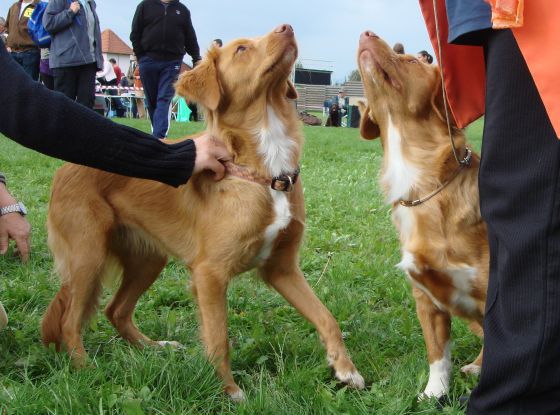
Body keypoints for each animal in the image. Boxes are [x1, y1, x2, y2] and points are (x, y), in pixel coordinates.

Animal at [39, 24, 364, 402]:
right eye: (241, 49)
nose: (288, 27)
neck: (264, 169)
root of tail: (64, 168)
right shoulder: (210, 275)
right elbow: (219, 338)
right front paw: (229, 391)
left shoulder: (282, 268)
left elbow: (327, 316)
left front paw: (345, 369)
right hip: (88, 256)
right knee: (70, 321)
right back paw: (86, 371)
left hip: (148, 259)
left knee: (115, 310)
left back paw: (154, 347)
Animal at [356, 30, 488, 398]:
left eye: (419, 60)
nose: (367, 32)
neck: (421, 186)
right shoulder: (426, 300)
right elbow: (438, 354)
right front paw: (435, 394)